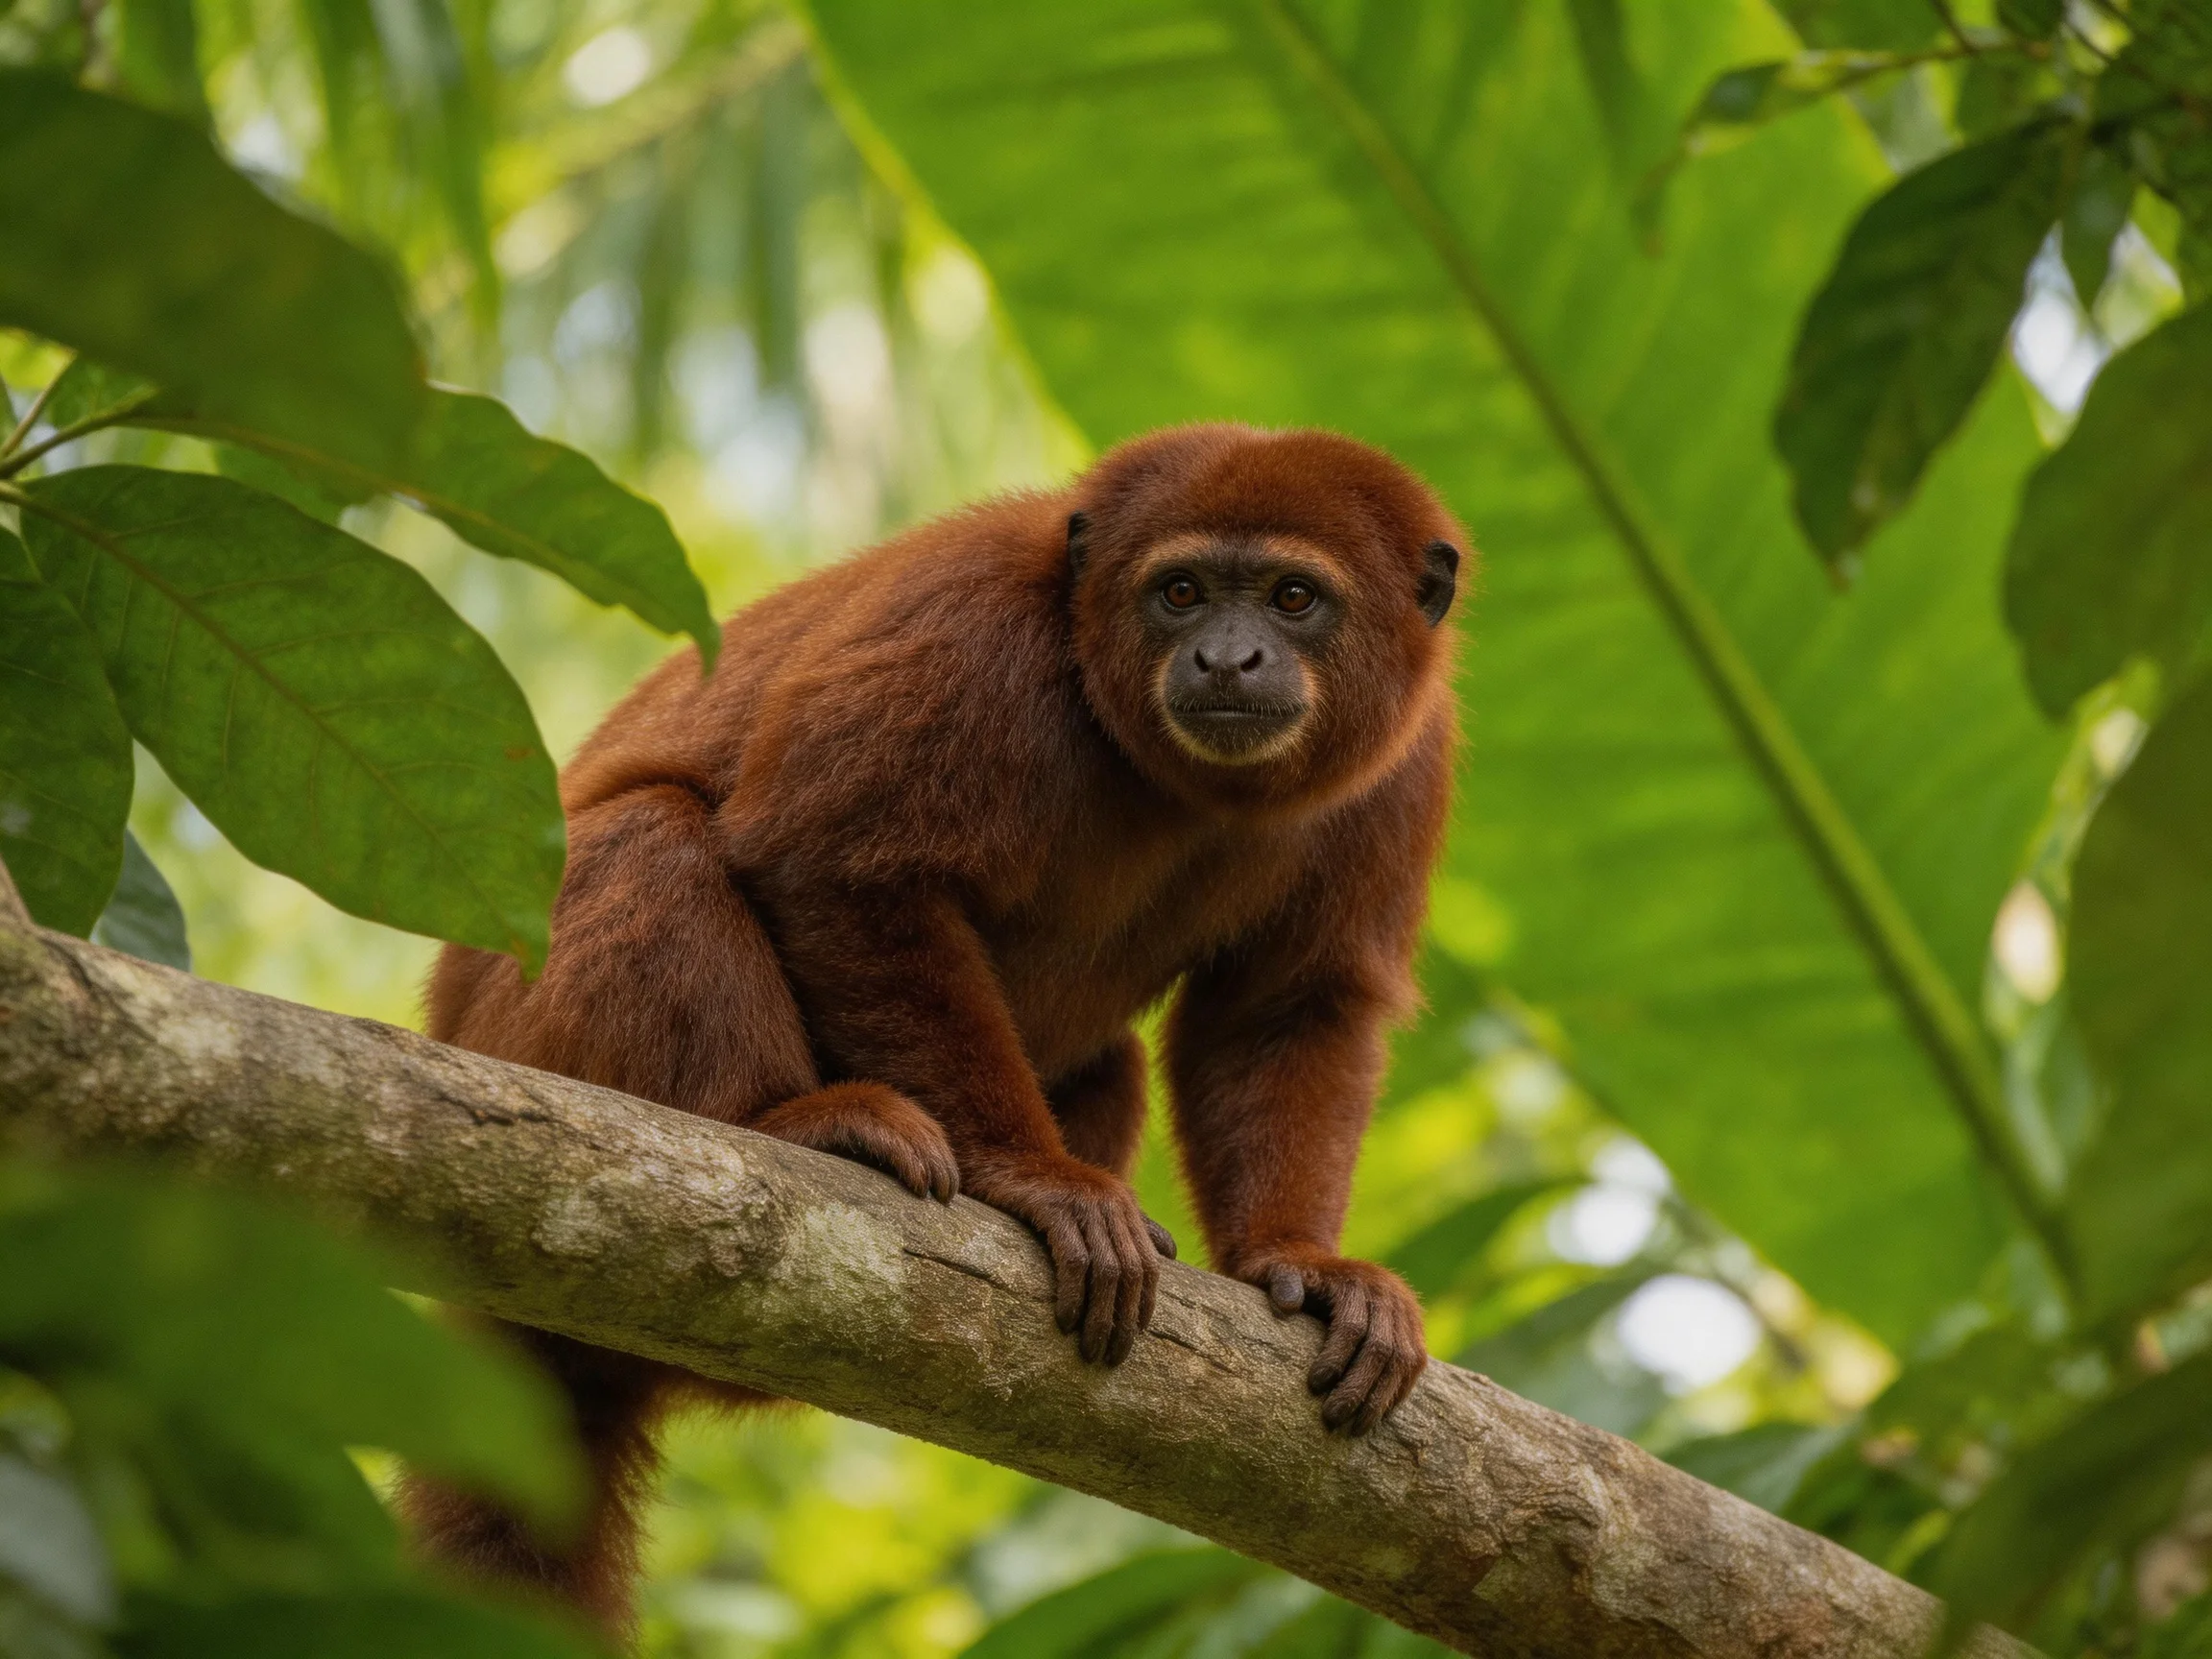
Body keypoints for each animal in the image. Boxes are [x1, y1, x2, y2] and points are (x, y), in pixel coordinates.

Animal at [400, 422, 1465, 1638]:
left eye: (1294, 598)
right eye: (1181, 592)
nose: (1228, 659)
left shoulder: (1411, 754)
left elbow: (1292, 1004)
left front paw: (1298, 1259)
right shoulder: (975, 628)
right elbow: (838, 861)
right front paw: (1034, 1181)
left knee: (1110, 1063)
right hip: (515, 1028)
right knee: (650, 831)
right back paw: (788, 1124)